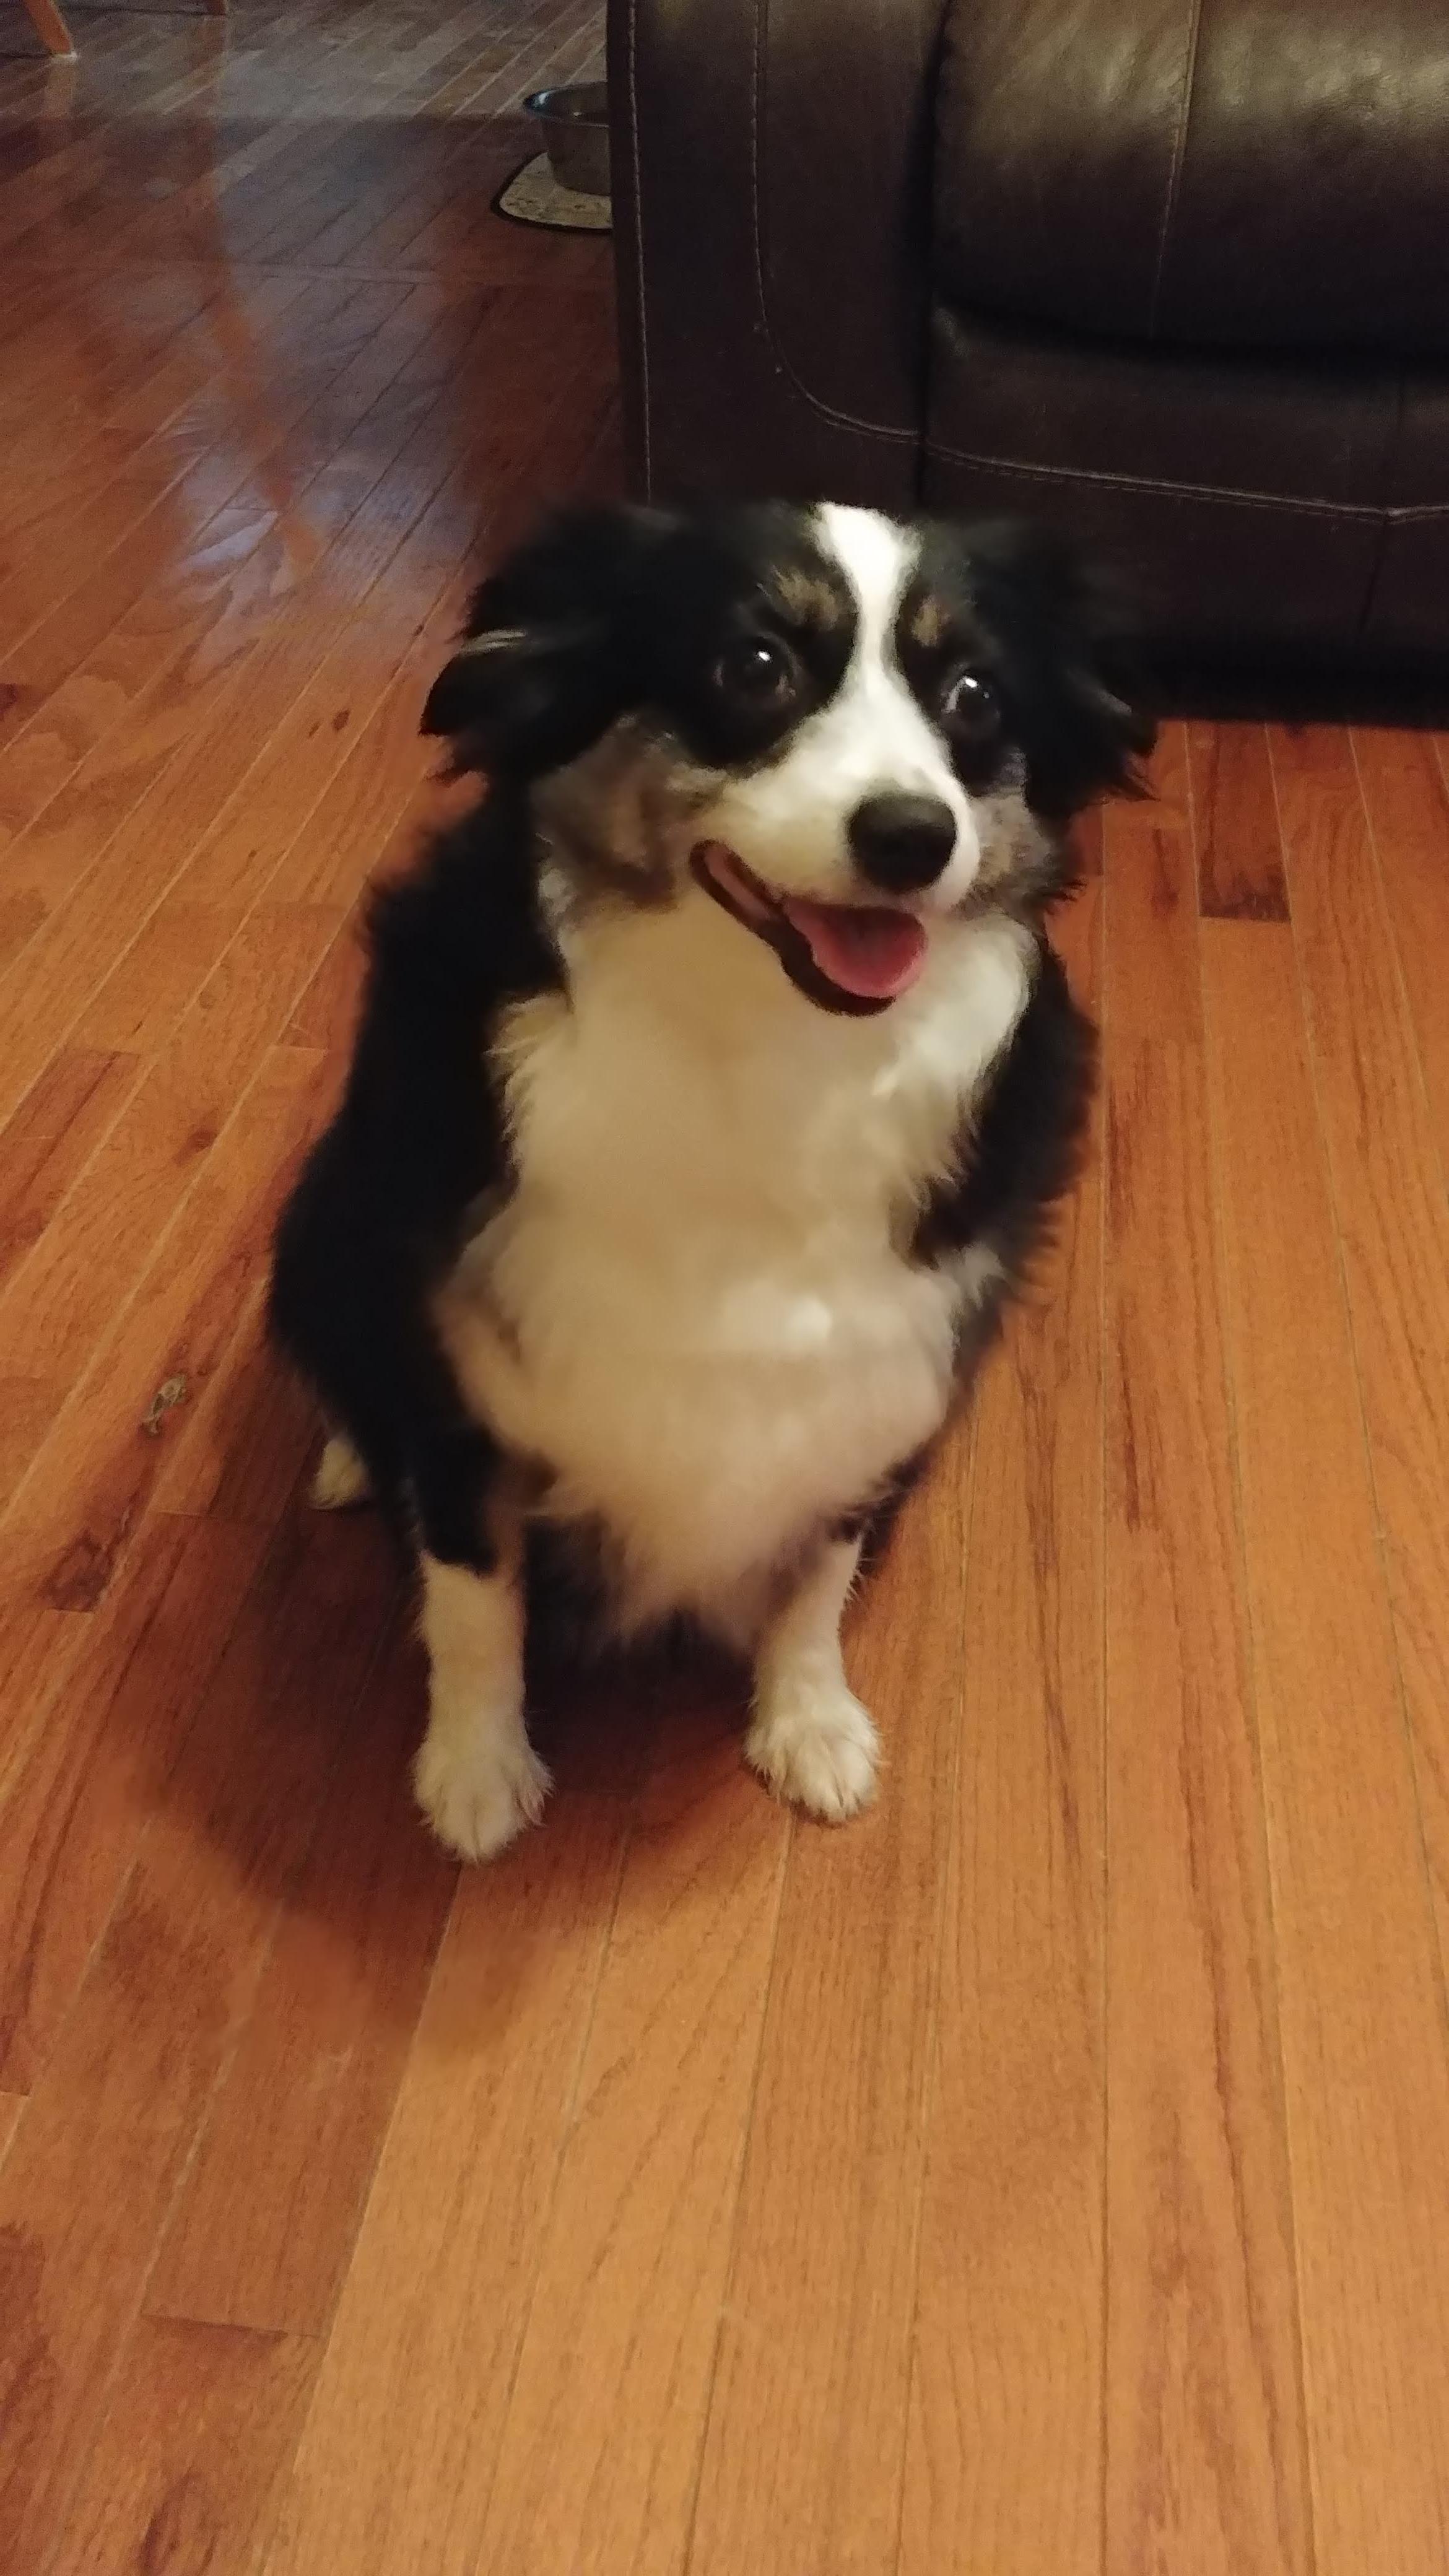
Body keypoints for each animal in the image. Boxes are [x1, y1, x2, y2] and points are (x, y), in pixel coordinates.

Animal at [269, 500, 1151, 1862]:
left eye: (973, 695)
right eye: (757, 666)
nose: (914, 836)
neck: (770, 1048)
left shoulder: (876, 1375)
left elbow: (821, 1572)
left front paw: (809, 1722)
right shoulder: (464, 1395)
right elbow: (474, 1597)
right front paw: (475, 1771)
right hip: (322, 1209)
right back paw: (356, 1465)